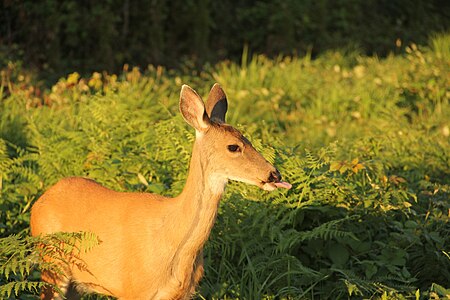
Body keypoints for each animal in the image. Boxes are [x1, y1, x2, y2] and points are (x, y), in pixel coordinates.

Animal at [31, 82, 292, 300]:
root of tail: (41, 200)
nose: (274, 174)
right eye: (233, 147)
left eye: (248, 139)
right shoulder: (133, 289)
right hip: (51, 263)